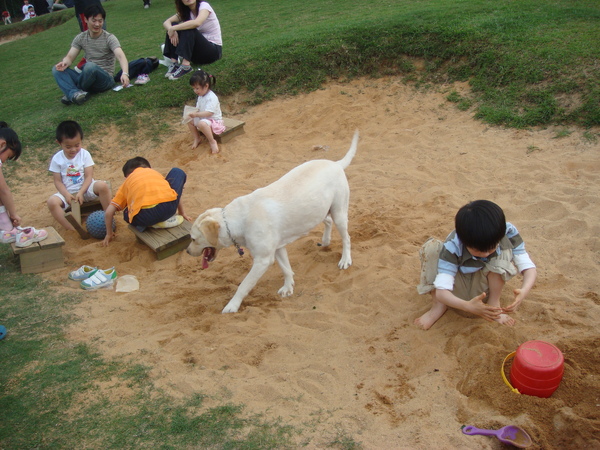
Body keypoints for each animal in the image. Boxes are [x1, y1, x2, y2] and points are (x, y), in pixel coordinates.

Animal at [186, 130, 356, 312]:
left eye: (193, 239)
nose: (187, 252)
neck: (236, 221)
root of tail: (336, 164)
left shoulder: (263, 260)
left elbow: (244, 285)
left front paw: (232, 306)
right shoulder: (278, 248)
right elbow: (286, 269)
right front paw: (288, 287)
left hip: (339, 212)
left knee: (346, 238)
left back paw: (345, 260)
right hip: (319, 209)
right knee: (328, 221)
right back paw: (325, 241)